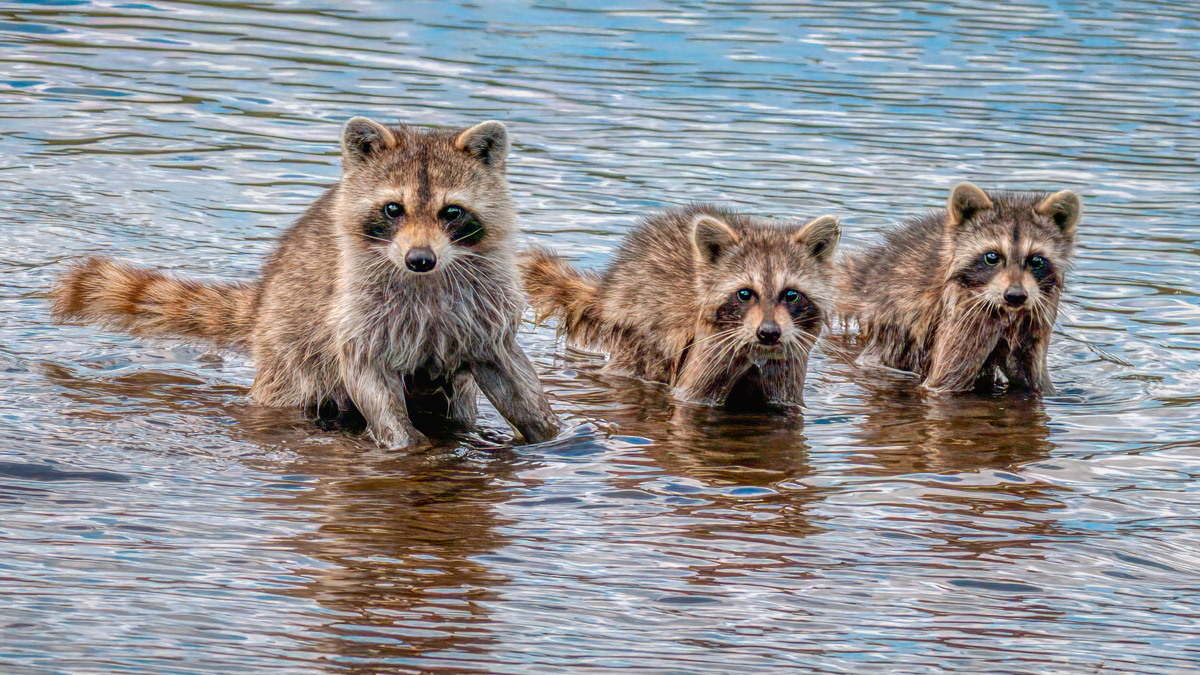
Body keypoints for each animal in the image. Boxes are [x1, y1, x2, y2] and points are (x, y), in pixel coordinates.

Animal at [51, 116, 560, 449]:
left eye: (451, 211)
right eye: (393, 209)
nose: (420, 260)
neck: (428, 278)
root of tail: (264, 302)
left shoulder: (483, 308)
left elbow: (508, 368)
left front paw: (551, 432)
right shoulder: (357, 313)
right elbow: (367, 374)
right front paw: (405, 445)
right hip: (292, 355)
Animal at [520, 204, 841, 408]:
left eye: (791, 295)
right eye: (745, 293)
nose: (769, 333)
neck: (756, 351)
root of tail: (611, 288)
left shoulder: (789, 357)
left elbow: (786, 404)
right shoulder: (707, 346)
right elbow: (691, 397)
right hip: (639, 327)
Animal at [836, 181, 1081, 394]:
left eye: (1036, 260)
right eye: (992, 257)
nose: (1015, 296)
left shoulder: (1038, 312)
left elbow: (1034, 378)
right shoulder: (961, 310)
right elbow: (946, 377)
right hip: (893, 321)